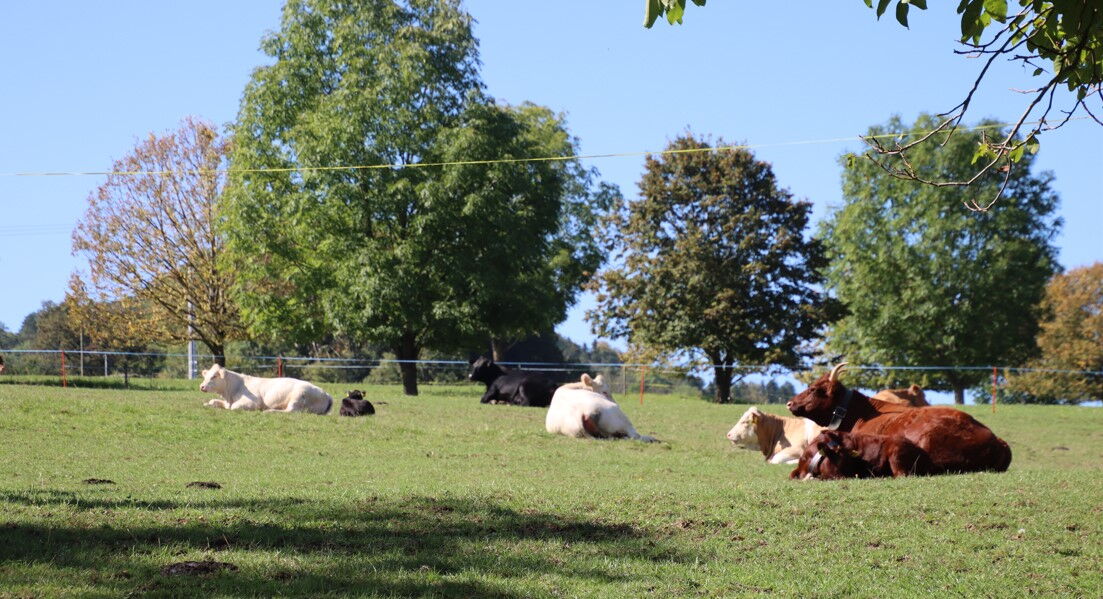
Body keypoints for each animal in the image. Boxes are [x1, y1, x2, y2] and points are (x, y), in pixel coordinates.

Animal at [199, 363, 333, 415]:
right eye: (205, 376)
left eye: (214, 376)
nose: (202, 386)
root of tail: (325, 393)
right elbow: (212, 401)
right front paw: (207, 404)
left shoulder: (253, 402)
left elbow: (234, 407)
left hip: (298, 397)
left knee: (290, 411)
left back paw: (269, 410)